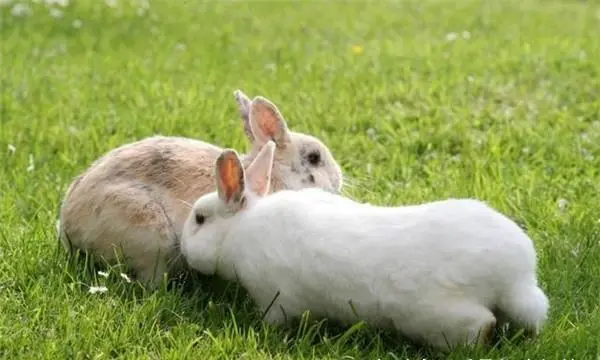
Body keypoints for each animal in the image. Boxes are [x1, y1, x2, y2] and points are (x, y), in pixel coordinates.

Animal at [182, 144, 548, 352]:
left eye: (199, 218)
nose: (183, 250)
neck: (241, 229)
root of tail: (513, 279)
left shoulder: (276, 298)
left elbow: (274, 318)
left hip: (436, 317)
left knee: (481, 325)